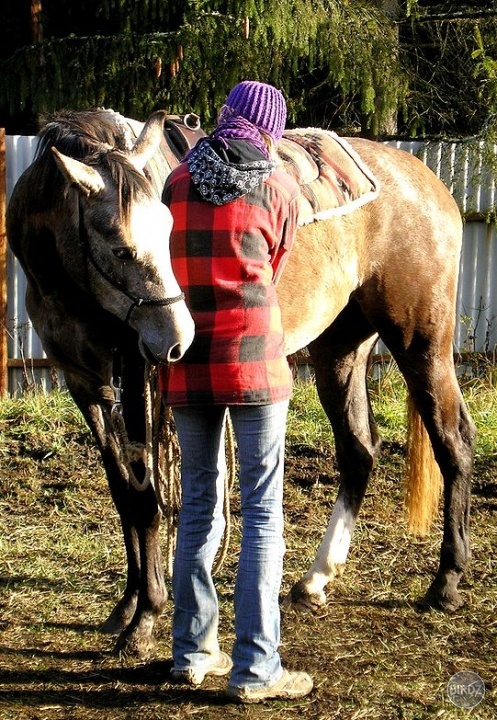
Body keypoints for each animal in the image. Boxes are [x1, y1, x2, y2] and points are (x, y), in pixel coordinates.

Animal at [6, 108, 472, 664]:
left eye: (169, 228)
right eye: (121, 249)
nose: (178, 338)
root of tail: (429, 182)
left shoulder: (137, 374)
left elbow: (147, 499)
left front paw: (145, 618)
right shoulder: (84, 383)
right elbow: (124, 492)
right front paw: (126, 605)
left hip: (421, 342)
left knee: (453, 444)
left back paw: (446, 583)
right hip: (340, 348)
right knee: (360, 449)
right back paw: (315, 580)